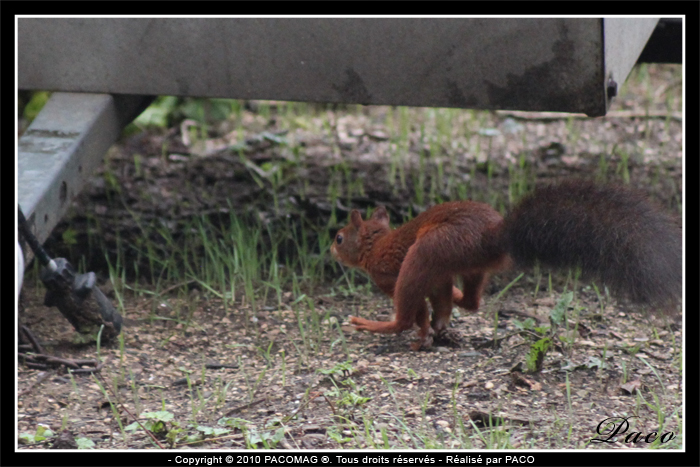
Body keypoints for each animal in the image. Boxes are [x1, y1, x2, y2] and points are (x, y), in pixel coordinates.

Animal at [330, 181, 680, 350]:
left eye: (339, 237)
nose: (331, 251)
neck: (376, 244)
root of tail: (492, 237)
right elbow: (432, 310)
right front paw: (430, 331)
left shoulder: (386, 275)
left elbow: (416, 313)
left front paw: (422, 332)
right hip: (463, 264)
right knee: (469, 301)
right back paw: (453, 302)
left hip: (428, 251)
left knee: (405, 315)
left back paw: (372, 325)